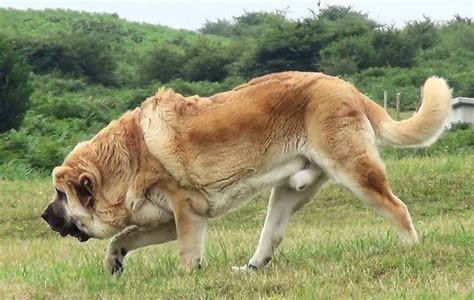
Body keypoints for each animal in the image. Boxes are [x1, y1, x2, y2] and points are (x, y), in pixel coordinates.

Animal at [41, 72, 452, 274]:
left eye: (61, 195)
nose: (44, 215)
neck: (128, 157)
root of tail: (349, 88)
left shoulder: (187, 213)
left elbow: (187, 254)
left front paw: (188, 277)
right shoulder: (170, 220)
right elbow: (122, 238)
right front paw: (114, 263)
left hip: (354, 172)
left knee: (397, 208)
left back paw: (410, 248)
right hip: (286, 195)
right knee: (271, 237)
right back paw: (250, 268)